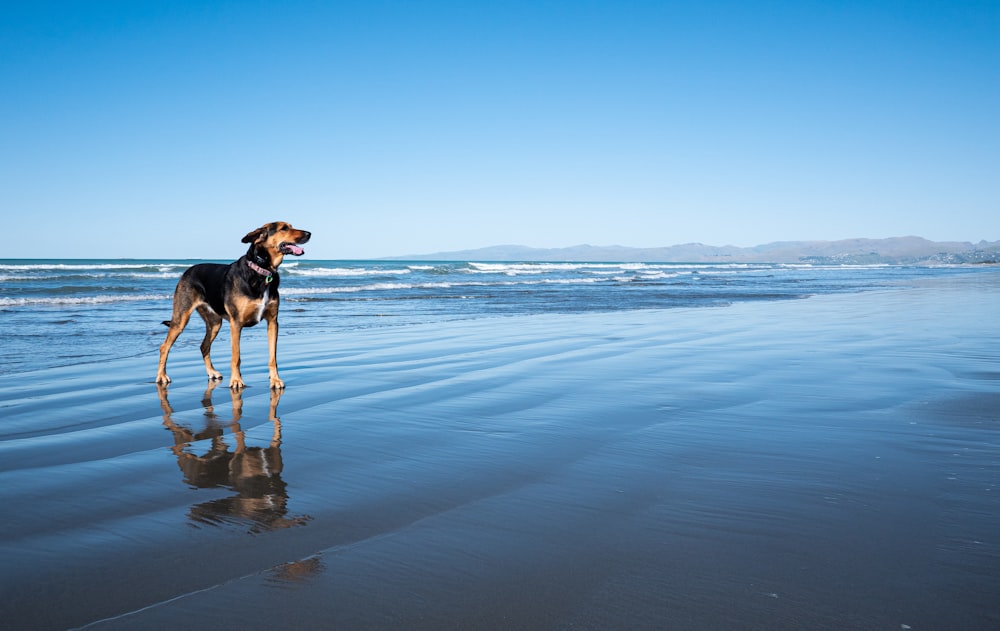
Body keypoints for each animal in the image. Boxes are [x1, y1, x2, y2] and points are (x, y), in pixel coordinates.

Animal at [156, 222, 310, 390]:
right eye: (284, 228)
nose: (309, 233)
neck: (262, 270)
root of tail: (188, 270)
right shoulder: (236, 323)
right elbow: (236, 356)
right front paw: (236, 380)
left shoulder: (273, 322)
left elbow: (272, 357)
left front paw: (275, 380)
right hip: (181, 319)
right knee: (164, 347)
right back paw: (161, 376)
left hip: (215, 323)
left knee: (204, 346)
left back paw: (212, 372)